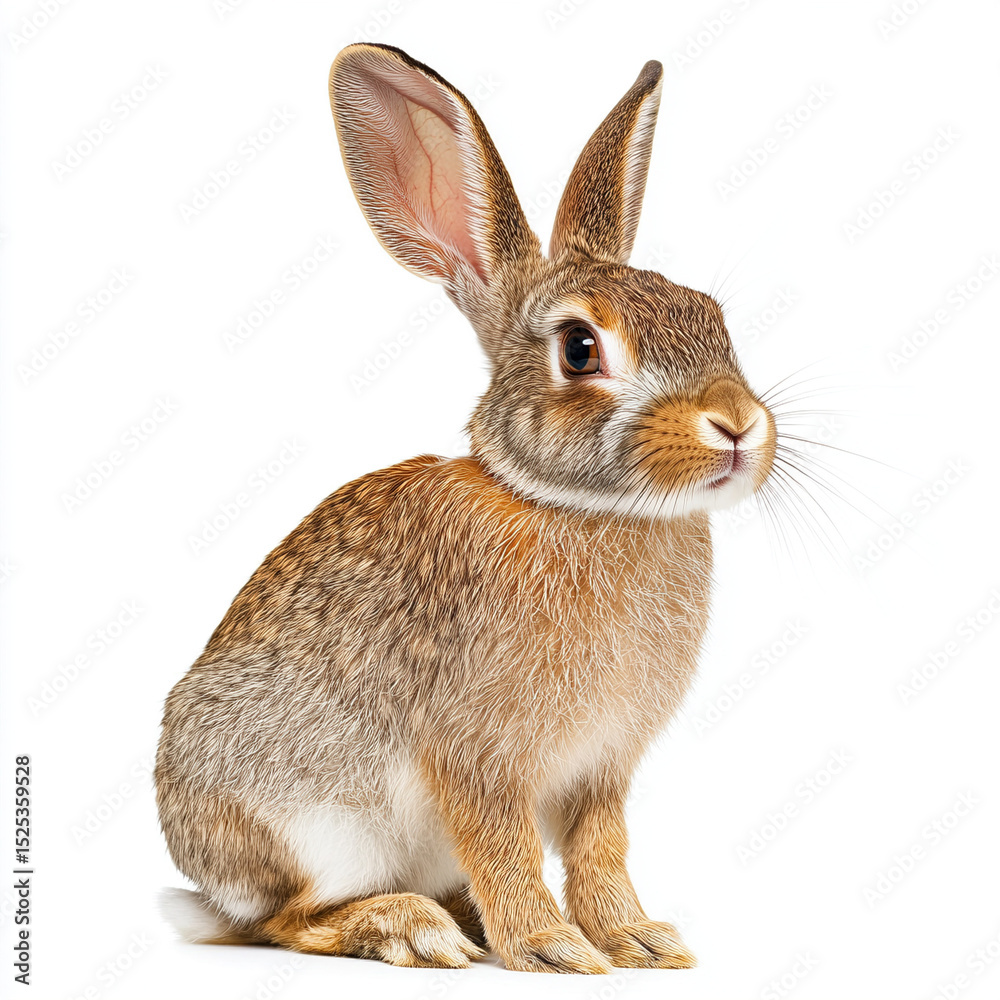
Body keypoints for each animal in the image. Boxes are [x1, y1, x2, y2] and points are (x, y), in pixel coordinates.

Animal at [155, 42, 777, 975]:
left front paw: (637, 940)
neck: (577, 507)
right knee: (289, 919)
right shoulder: (476, 758)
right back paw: (411, 927)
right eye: (580, 349)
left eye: (711, 317)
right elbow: (505, 846)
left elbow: (600, 851)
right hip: (318, 828)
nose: (737, 425)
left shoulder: (601, 770)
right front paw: (552, 950)